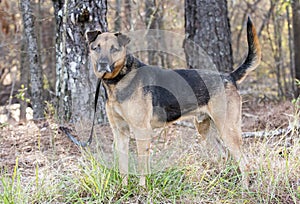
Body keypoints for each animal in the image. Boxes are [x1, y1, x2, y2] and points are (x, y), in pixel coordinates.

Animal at [85, 17, 262, 186]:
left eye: (114, 48)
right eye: (96, 48)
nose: (102, 64)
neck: (119, 80)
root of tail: (229, 76)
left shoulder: (141, 130)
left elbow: (142, 167)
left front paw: (142, 190)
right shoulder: (120, 132)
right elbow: (123, 167)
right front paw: (123, 189)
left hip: (227, 128)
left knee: (244, 163)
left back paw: (244, 189)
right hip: (205, 128)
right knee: (223, 155)